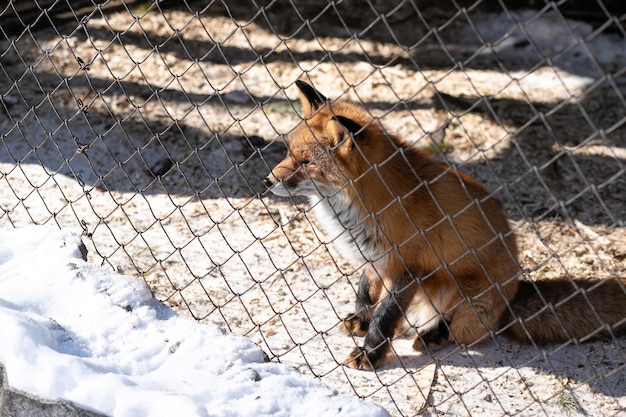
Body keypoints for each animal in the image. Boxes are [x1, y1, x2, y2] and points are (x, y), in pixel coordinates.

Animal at [262, 81, 624, 370]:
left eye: (307, 162)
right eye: (289, 153)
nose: (266, 181)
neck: (359, 206)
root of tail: (514, 294)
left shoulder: (406, 269)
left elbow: (384, 318)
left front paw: (371, 354)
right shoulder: (373, 260)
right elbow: (365, 296)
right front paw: (361, 321)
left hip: (465, 295)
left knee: (463, 331)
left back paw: (432, 336)